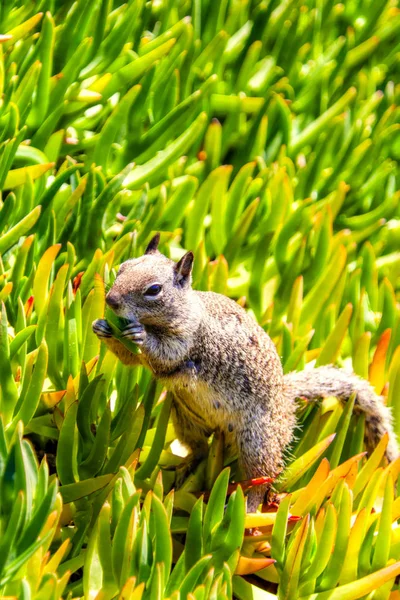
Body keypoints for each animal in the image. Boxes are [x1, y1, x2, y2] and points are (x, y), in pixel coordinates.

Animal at [93, 233, 396, 510]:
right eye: (122, 267)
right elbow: (130, 361)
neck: (187, 310)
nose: (110, 299)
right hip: (186, 420)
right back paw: (186, 468)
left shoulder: (187, 339)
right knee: (201, 449)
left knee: (261, 478)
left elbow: (167, 354)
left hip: (257, 441)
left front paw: (141, 335)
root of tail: (286, 400)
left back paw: (248, 509)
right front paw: (101, 327)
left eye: (154, 289)